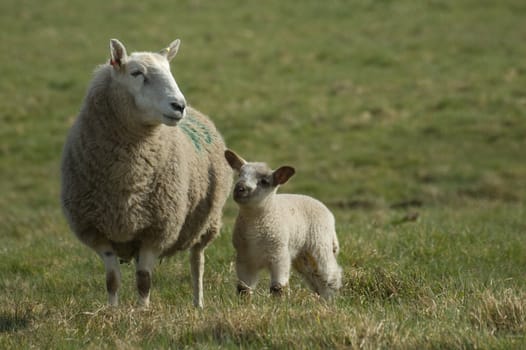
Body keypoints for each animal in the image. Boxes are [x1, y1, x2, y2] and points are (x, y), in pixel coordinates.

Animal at [60, 37, 232, 308]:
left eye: (170, 71)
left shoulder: (156, 229)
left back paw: (198, 303)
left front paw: (142, 312)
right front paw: (112, 311)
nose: (179, 106)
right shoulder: (98, 231)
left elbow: (143, 280)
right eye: (136, 73)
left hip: (206, 222)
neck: (127, 177)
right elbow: (112, 280)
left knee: (197, 262)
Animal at [225, 149, 344, 300]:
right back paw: (321, 298)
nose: (239, 188)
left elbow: (278, 287)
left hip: (320, 243)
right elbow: (243, 288)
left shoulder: (279, 254)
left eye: (264, 181)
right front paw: (244, 303)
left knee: (330, 274)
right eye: (239, 174)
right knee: (314, 276)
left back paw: (331, 299)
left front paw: (278, 302)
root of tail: (329, 215)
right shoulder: (244, 258)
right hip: (302, 255)